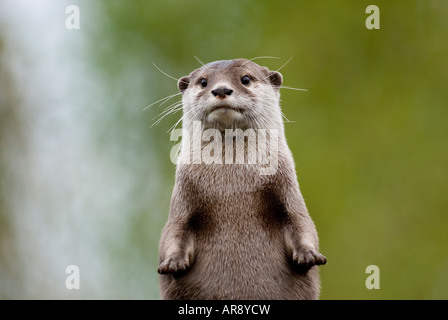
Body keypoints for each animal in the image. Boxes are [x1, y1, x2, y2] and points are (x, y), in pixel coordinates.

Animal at [158, 58, 326, 300]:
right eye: (203, 82)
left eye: (245, 79)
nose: (221, 90)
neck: (233, 186)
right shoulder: (183, 198)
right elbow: (173, 230)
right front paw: (173, 261)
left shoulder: (287, 189)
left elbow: (301, 221)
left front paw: (308, 254)